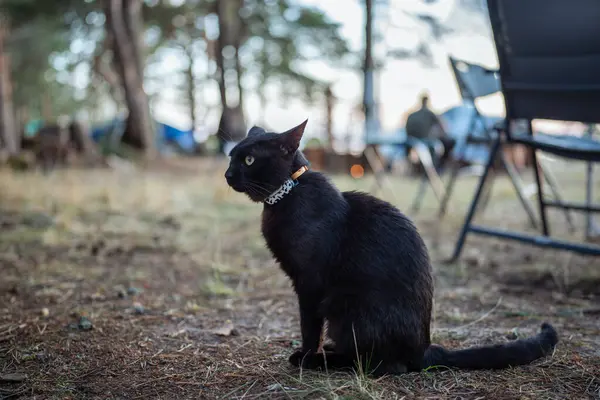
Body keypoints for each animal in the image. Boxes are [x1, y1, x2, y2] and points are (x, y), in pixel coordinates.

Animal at [225, 119, 556, 376]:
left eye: (249, 160)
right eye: (231, 157)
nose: (227, 174)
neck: (286, 194)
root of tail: (424, 349)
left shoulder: (309, 283)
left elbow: (309, 327)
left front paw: (306, 354)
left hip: (347, 310)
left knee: (382, 365)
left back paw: (324, 360)